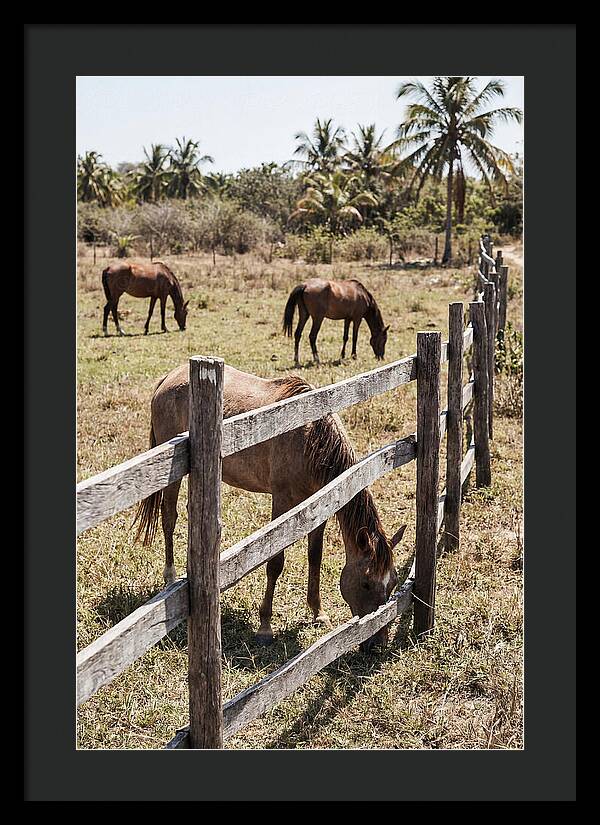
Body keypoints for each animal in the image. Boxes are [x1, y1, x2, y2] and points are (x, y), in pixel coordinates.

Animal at [134, 363, 407, 652]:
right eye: (366, 583)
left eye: (392, 583)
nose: (377, 643)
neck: (310, 437)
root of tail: (169, 377)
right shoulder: (282, 501)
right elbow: (275, 562)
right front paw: (265, 626)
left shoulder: (320, 504)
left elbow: (315, 556)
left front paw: (317, 612)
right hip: (171, 474)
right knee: (169, 518)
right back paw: (170, 577)